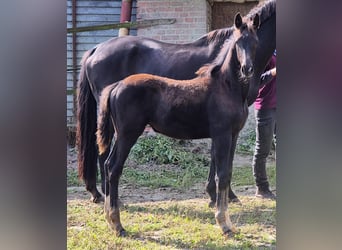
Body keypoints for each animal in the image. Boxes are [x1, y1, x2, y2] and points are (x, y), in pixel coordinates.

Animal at [77, 0, 276, 202]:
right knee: (104, 153)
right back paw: (106, 195)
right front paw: (223, 194)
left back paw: (98, 193)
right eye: (238, 43)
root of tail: (96, 50)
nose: (247, 69)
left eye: (256, 43)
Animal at [95, 12, 258, 237]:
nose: (247, 68)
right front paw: (223, 224)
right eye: (238, 42)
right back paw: (118, 225)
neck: (226, 88)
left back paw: (110, 220)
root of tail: (117, 85)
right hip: (128, 134)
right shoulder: (222, 135)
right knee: (113, 168)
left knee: (108, 164)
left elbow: (228, 174)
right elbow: (222, 176)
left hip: (121, 135)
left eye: (255, 41)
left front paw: (229, 224)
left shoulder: (233, 135)